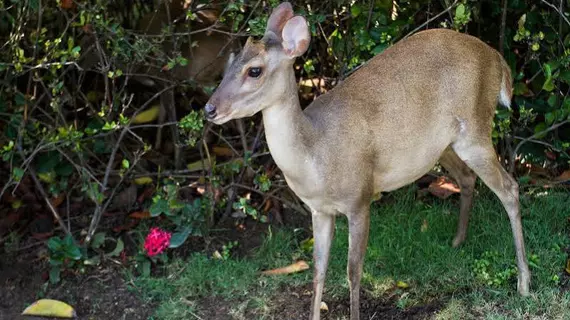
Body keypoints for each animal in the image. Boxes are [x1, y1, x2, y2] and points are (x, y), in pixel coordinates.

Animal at [203, 2, 528, 320]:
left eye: (254, 71)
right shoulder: (319, 210)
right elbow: (318, 271)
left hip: (475, 129)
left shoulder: (359, 197)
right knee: (466, 178)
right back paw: (457, 242)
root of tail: (498, 59)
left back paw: (524, 283)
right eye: (229, 63)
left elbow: (353, 271)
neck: (316, 154)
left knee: (510, 188)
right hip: (443, 145)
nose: (209, 109)